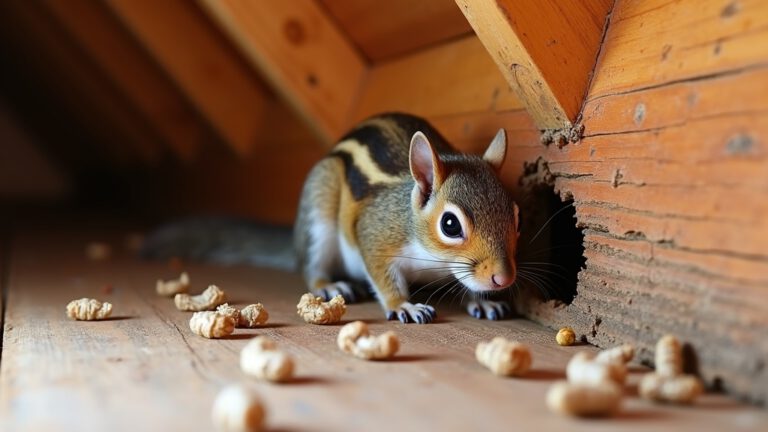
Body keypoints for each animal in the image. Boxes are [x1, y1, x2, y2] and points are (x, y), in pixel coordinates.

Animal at [294, 113, 520, 324]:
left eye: (518, 219)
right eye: (450, 225)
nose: (503, 279)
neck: (435, 258)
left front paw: (482, 301)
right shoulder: (376, 237)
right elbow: (385, 277)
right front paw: (403, 305)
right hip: (320, 211)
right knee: (314, 268)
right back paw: (328, 285)